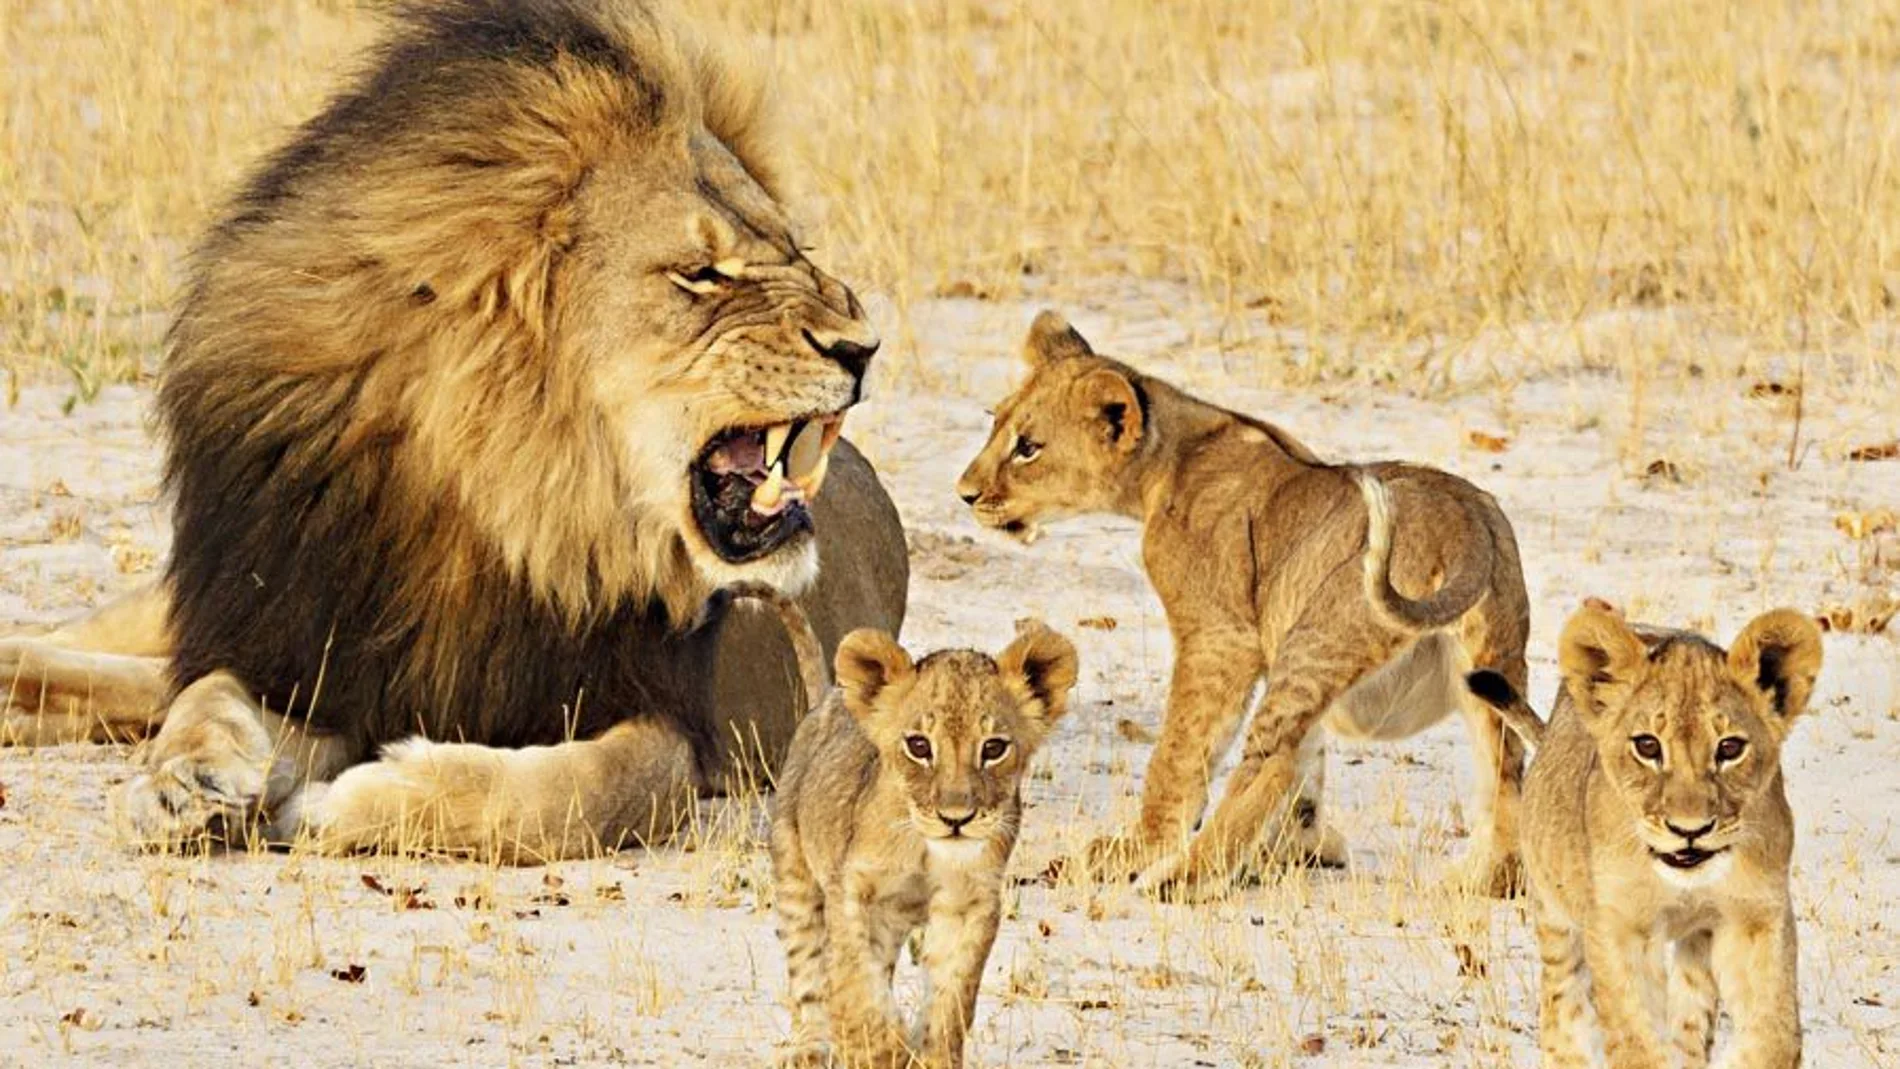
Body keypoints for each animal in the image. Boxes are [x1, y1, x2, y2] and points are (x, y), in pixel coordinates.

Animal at [0, 0, 908, 862]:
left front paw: (342, 803)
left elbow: (566, 793)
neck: (492, 500)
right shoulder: (295, 638)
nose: (863, 347)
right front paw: (184, 782)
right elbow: (204, 696)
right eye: (702, 274)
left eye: (793, 249)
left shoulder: (669, 723)